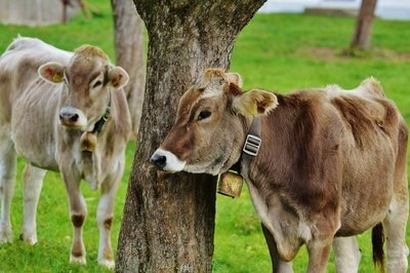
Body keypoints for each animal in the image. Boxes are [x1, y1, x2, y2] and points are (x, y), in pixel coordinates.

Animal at [0, 36, 131, 268]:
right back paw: (6, 234)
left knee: (31, 183)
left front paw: (106, 259)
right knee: (6, 183)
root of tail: (21, 41)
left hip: (38, 145)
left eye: (97, 82)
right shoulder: (68, 164)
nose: (68, 116)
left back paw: (30, 237)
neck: (93, 132)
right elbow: (78, 213)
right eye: (66, 80)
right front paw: (77, 256)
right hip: (5, 136)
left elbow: (106, 216)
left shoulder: (116, 166)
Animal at [152, 68, 408, 272]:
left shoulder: (321, 231)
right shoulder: (272, 228)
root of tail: (373, 88)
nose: (159, 157)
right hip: (345, 212)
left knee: (397, 256)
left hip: (397, 201)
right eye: (180, 110)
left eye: (204, 113)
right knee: (350, 257)